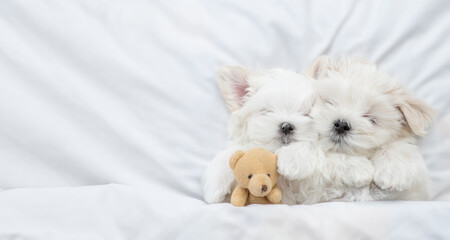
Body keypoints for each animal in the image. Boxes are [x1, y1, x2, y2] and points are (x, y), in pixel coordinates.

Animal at [202, 64, 314, 203]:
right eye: (266, 111)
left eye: (307, 114)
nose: (287, 126)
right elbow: (237, 151)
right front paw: (215, 182)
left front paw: (292, 158)